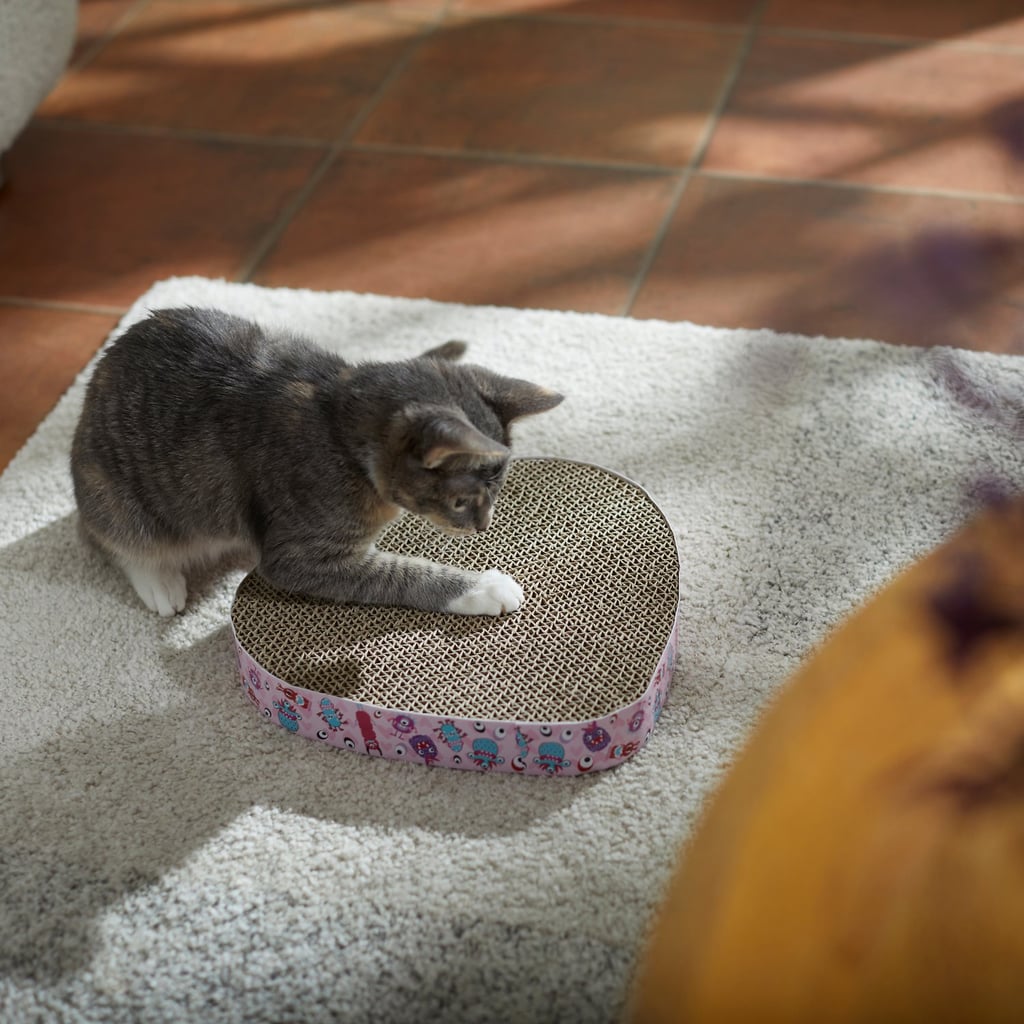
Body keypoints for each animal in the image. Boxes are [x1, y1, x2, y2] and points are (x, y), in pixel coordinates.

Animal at [72, 305, 565, 614]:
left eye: (498, 490)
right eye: (461, 502)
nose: (483, 526)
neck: (338, 417)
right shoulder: (298, 556)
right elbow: (398, 573)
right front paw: (481, 587)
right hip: (114, 495)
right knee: (109, 537)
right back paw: (158, 580)